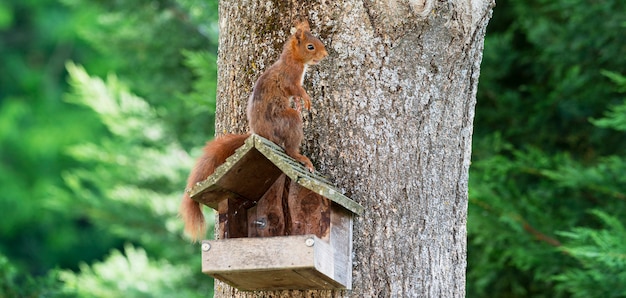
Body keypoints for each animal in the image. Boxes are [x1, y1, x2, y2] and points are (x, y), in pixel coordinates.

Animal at [178, 19, 326, 241]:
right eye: (310, 46)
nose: (325, 54)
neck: (292, 59)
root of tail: (259, 134)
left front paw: (302, 101)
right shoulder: (290, 77)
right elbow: (295, 89)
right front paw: (305, 98)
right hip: (286, 121)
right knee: (290, 145)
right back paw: (301, 157)